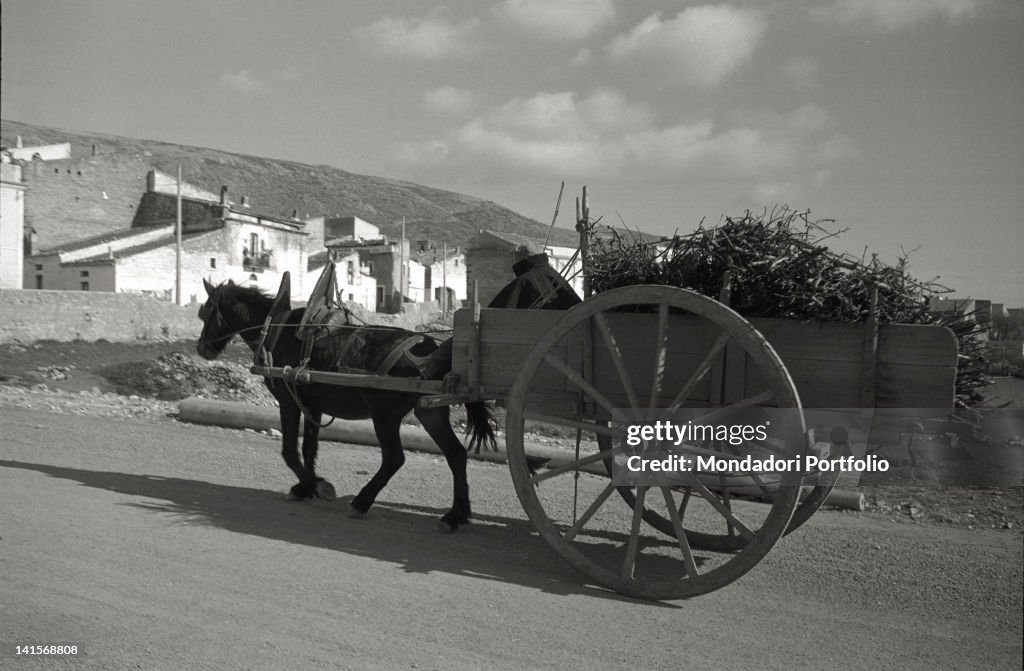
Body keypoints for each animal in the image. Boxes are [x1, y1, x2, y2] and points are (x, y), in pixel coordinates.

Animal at [196, 276, 495, 528]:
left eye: (206, 312)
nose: (201, 348)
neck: (276, 329)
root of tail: (430, 350)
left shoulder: (288, 402)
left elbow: (290, 451)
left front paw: (316, 486)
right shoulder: (311, 405)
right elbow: (309, 448)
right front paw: (304, 488)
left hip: (384, 414)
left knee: (394, 458)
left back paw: (361, 502)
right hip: (429, 412)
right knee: (456, 454)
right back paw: (457, 514)